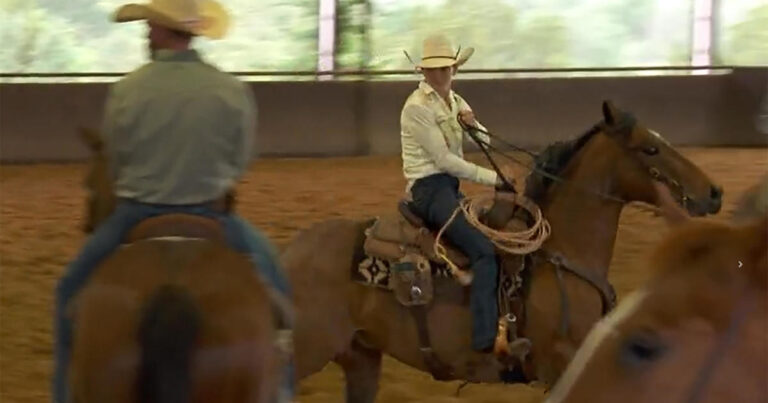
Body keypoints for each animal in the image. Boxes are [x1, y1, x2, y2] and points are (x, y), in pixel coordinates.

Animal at [284, 100, 728, 400]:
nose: (714, 193)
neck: (561, 251)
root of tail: (291, 253)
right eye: (650, 149)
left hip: (361, 356)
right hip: (306, 350)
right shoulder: (561, 364)